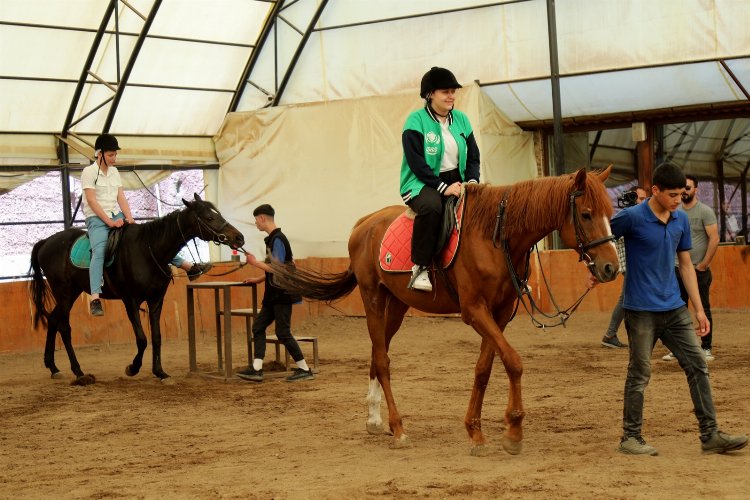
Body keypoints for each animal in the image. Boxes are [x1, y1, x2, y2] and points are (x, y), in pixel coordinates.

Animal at [27, 193, 245, 384]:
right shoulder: (130, 301)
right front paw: (132, 368)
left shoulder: (156, 300)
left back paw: (53, 367)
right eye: (209, 217)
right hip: (64, 293)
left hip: (71, 293)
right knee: (64, 326)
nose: (239, 238)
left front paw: (160, 372)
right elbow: (142, 339)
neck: (147, 250)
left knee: (53, 320)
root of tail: (46, 242)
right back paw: (79, 372)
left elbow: (156, 337)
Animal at [268, 167, 616, 454]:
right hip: (373, 299)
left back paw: (374, 419)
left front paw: (475, 432)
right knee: (383, 361)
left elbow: (484, 369)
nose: (611, 268)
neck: (494, 236)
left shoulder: (500, 314)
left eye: (610, 212)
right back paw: (398, 429)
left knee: (377, 355)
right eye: (586, 214)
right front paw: (514, 431)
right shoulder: (474, 311)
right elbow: (514, 362)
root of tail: (364, 224)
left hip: (396, 306)